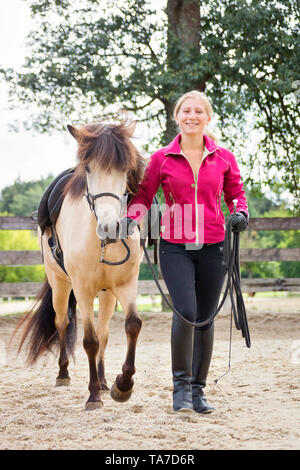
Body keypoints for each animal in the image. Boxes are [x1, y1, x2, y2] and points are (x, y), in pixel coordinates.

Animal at [17, 122, 146, 412]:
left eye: (125, 169)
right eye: (88, 169)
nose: (110, 227)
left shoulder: (125, 285)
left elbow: (131, 325)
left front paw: (122, 385)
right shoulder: (83, 289)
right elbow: (89, 341)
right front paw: (93, 395)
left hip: (107, 294)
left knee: (105, 333)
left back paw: (104, 380)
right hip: (60, 285)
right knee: (63, 322)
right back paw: (64, 374)